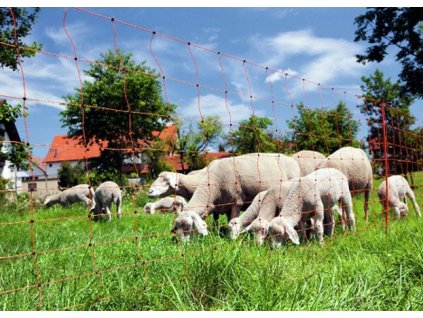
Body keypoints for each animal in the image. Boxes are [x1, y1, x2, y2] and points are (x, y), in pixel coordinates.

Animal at [171, 153, 302, 241]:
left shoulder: (236, 202)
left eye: (188, 226)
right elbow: (220, 220)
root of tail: (291, 159)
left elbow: (233, 219)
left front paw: (231, 237)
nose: (183, 246)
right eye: (177, 227)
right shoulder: (222, 204)